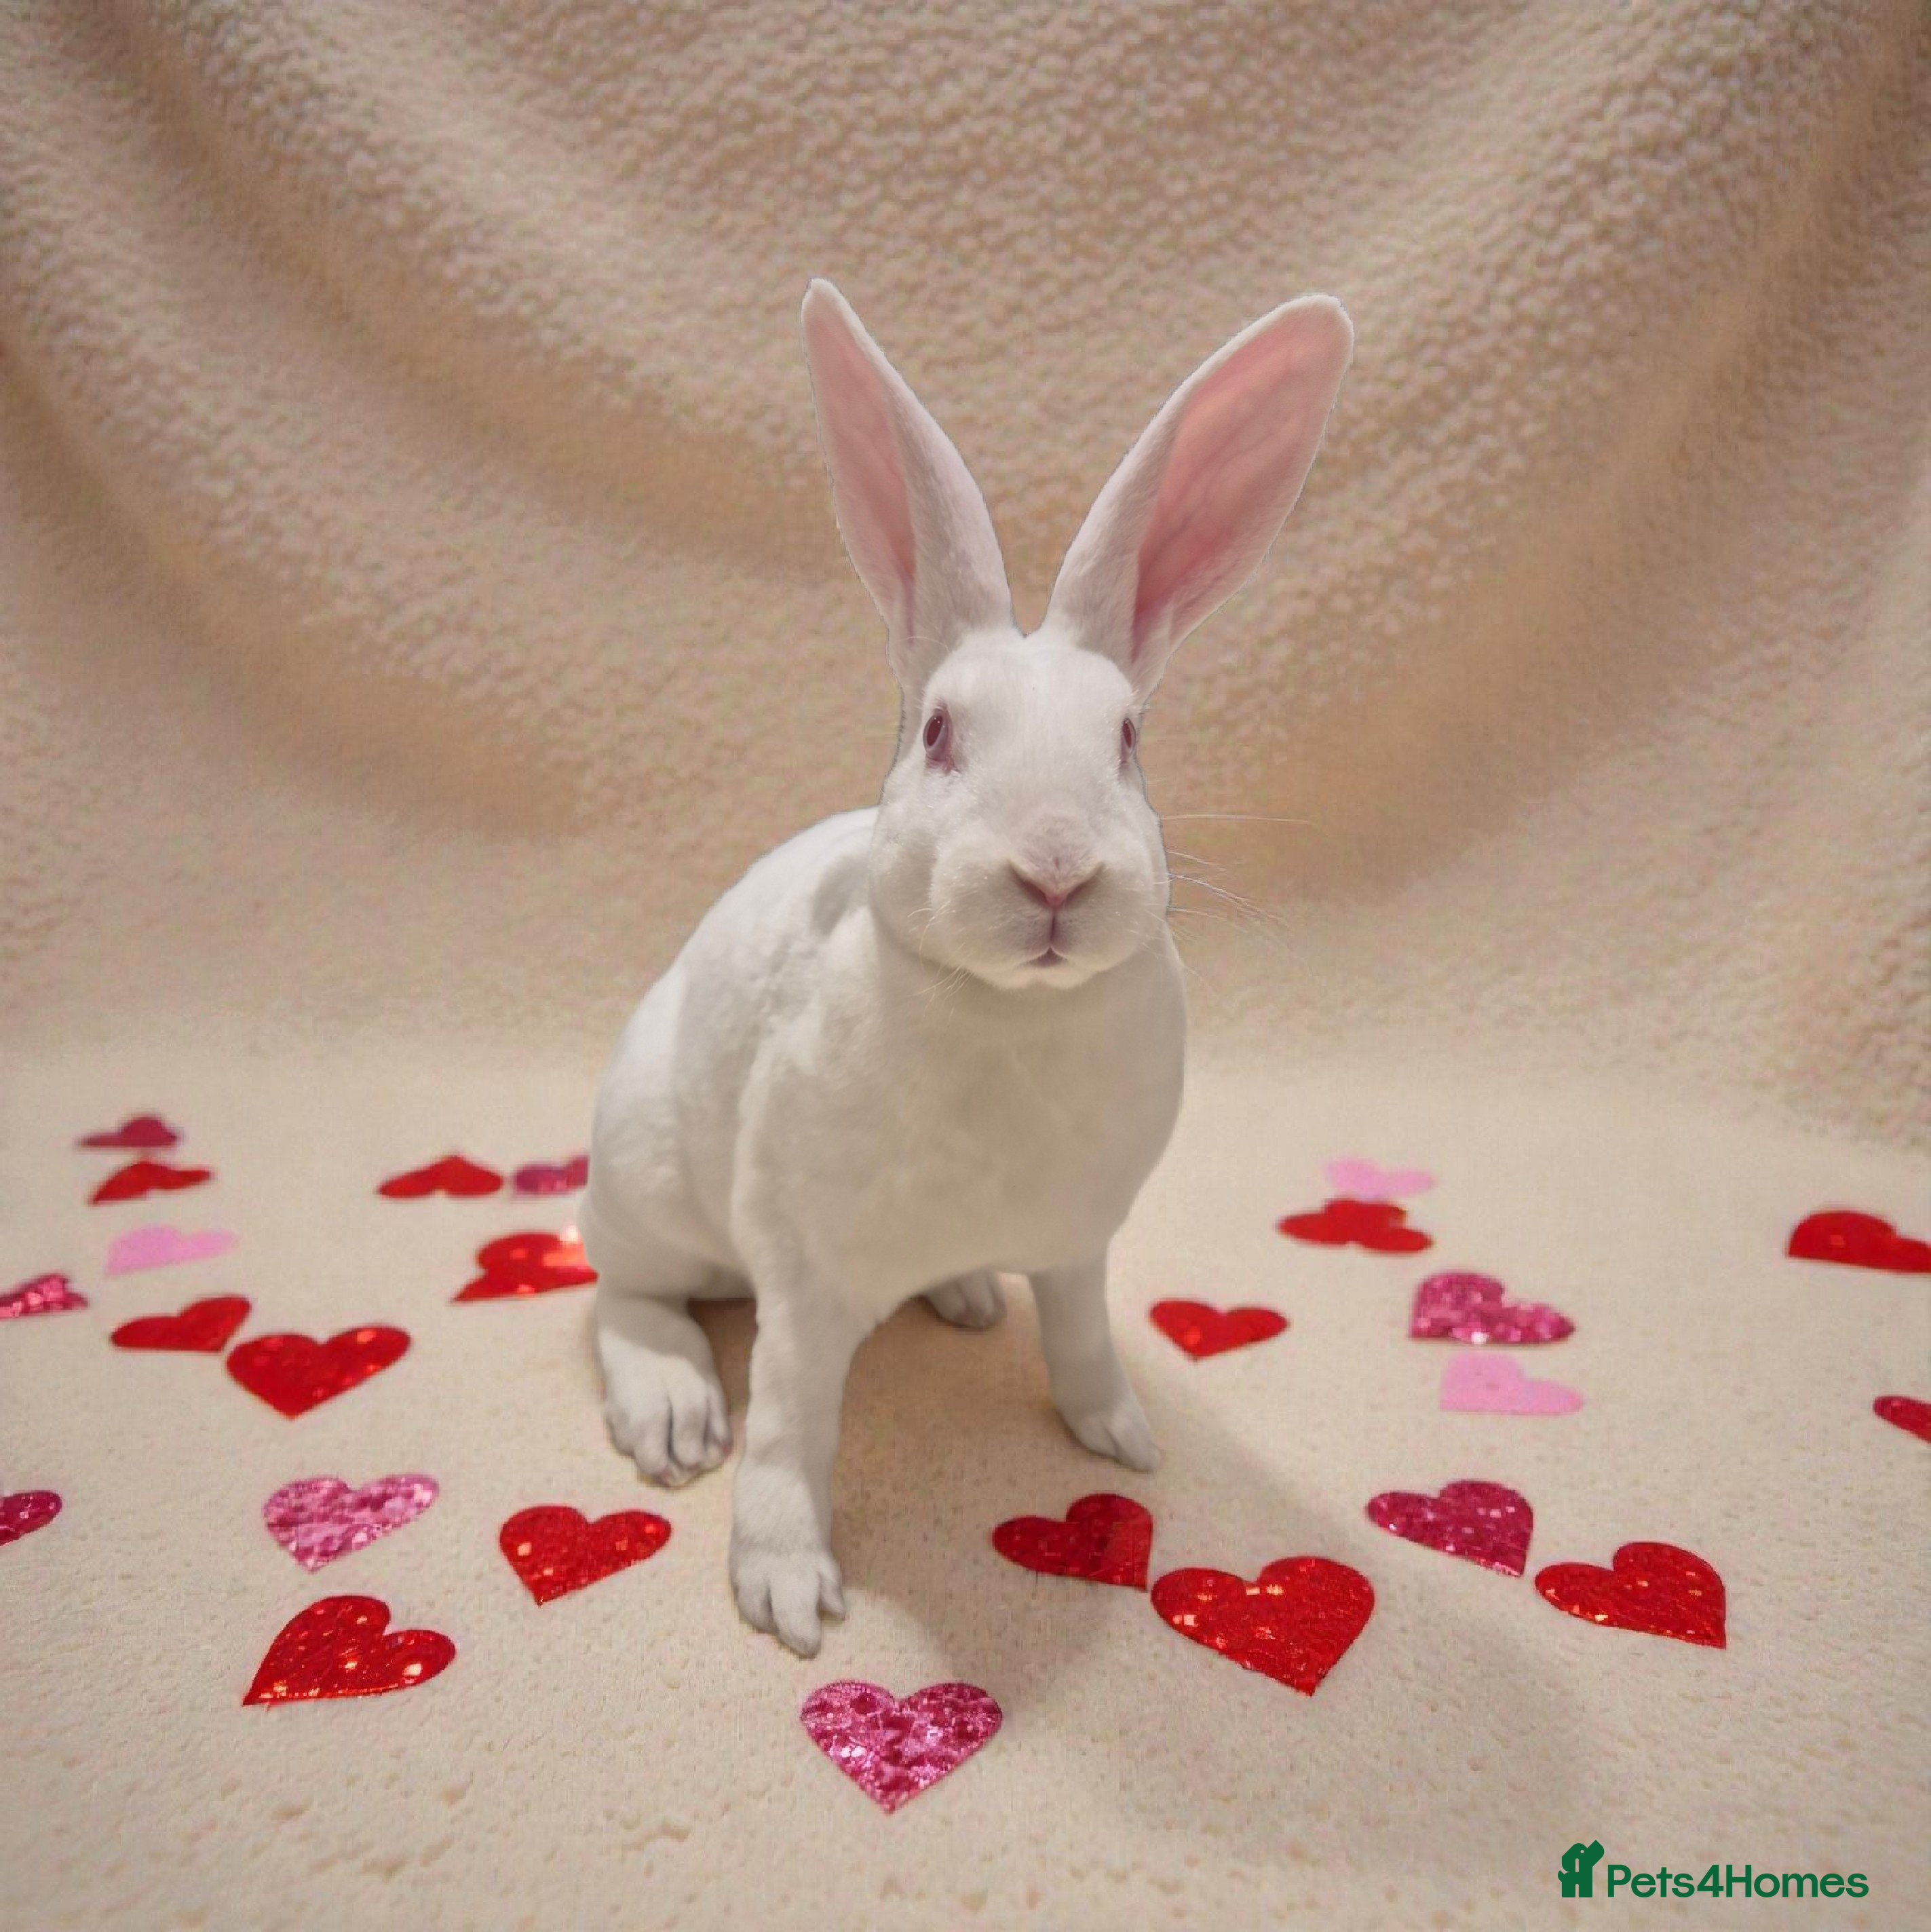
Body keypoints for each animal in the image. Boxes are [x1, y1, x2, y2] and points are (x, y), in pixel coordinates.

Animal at [581, 278, 1353, 1655]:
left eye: (1128, 740)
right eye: (939, 732)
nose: (1054, 870)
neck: (1013, 1015)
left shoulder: (1080, 1241)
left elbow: (1084, 1338)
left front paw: (1120, 1437)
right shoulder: (804, 1272)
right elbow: (792, 1425)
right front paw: (784, 1587)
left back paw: (968, 1297)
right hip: (651, 1185)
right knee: (625, 1294)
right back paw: (672, 1411)